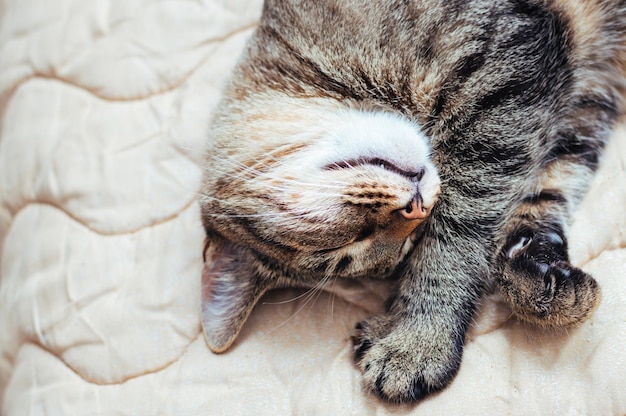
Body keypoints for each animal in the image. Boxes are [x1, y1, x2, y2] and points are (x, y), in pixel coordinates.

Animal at [197, 0, 620, 404]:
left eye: (336, 249)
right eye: (351, 247)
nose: (417, 209)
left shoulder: (506, 77)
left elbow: (452, 248)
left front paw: (418, 339)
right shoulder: (580, 104)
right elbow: (549, 190)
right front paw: (538, 278)